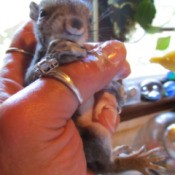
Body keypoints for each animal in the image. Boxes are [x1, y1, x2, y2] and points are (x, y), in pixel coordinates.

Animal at [25, 0, 165, 174]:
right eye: (42, 13)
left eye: (90, 19)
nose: (76, 23)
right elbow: (32, 76)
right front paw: (61, 49)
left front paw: (118, 91)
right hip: (96, 134)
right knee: (108, 167)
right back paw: (136, 161)